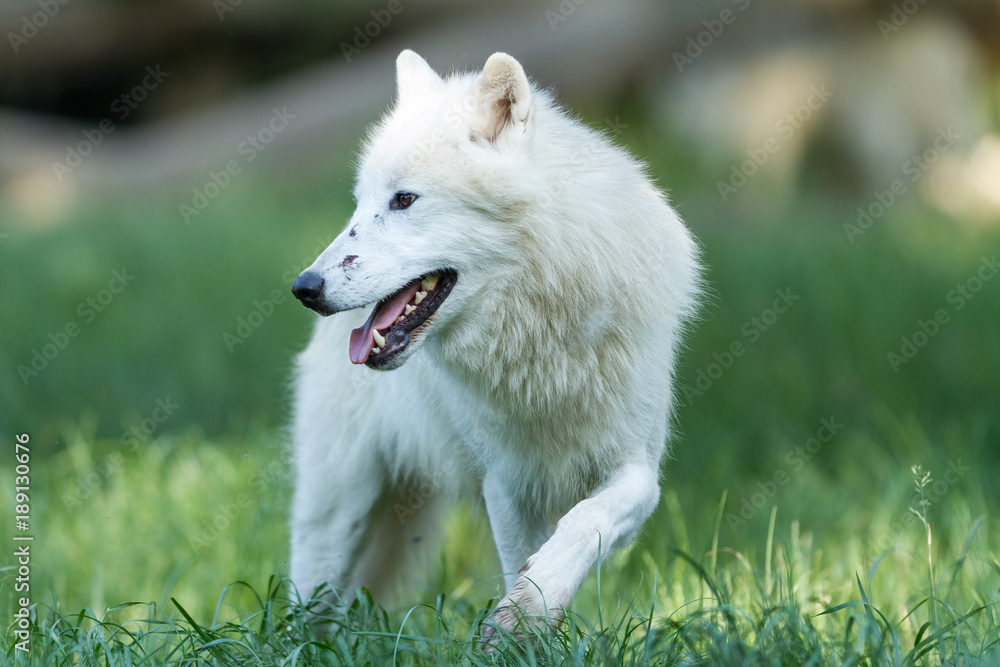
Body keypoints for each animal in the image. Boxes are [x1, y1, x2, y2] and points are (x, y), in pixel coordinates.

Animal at [289, 50, 701, 636]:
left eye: (404, 199)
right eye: (359, 205)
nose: (305, 287)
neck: (543, 338)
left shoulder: (638, 468)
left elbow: (586, 520)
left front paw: (533, 607)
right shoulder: (506, 485)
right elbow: (519, 561)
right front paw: (524, 624)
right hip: (335, 519)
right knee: (303, 610)